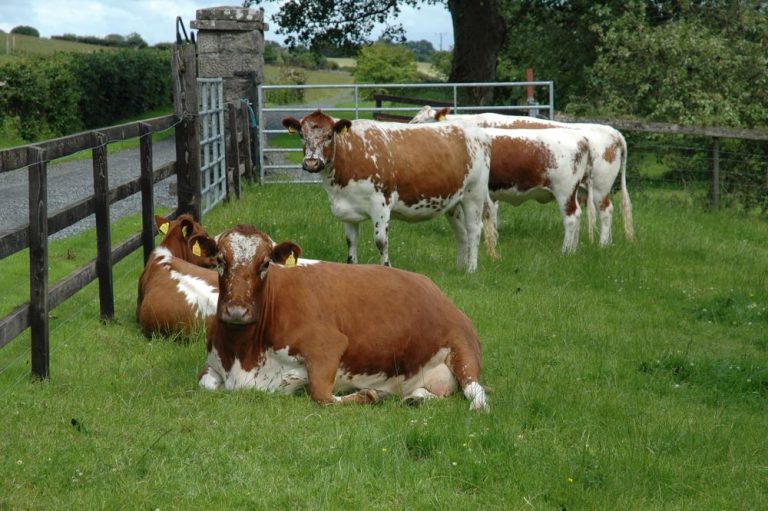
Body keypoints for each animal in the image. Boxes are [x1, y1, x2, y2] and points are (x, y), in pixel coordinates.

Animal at [198, 224, 489, 412]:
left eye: (265, 263)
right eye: (220, 260)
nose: (237, 311)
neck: (243, 355)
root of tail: (436, 290)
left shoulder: (328, 345)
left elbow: (321, 396)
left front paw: (369, 394)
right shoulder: (212, 364)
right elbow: (206, 383)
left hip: (462, 346)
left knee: (477, 393)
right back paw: (416, 399)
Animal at [281, 109, 496, 273]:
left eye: (328, 136)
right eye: (301, 135)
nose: (311, 162)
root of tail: (476, 131)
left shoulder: (381, 204)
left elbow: (381, 241)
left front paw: (386, 268)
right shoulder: (347, 211)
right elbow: (351, 241)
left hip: (474, 195)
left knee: (474, 231)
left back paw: (471, 269)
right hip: (453, 202)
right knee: (461, 233)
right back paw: (459, 268)